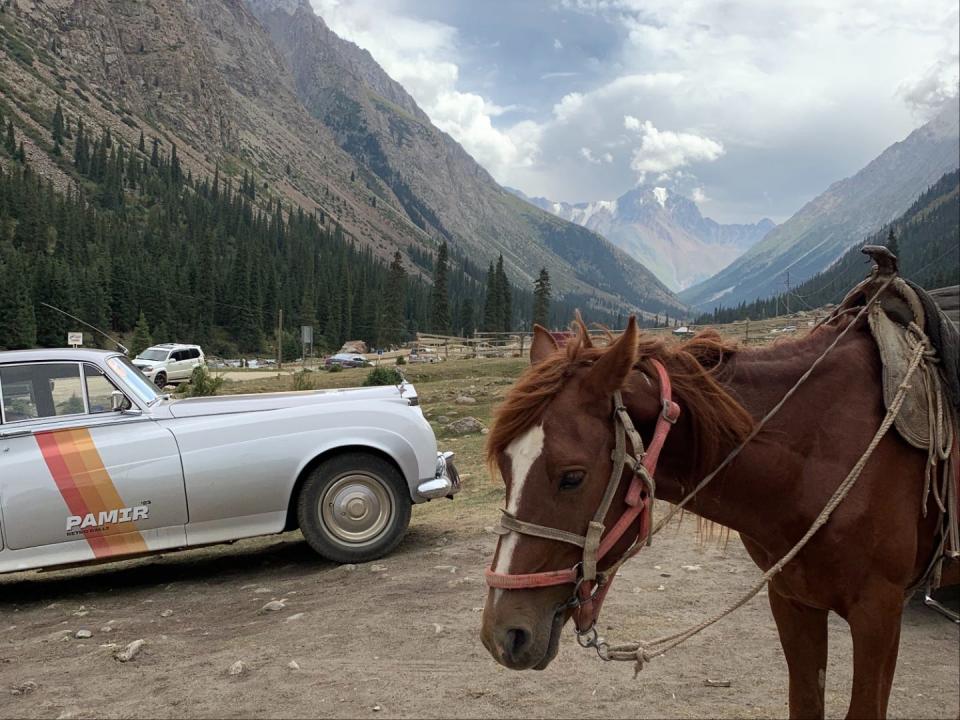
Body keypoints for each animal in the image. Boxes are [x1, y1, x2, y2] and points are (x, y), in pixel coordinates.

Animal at [480, 316, 952, 720]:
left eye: (572, 477)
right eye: (505, 465)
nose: (501, 635)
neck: (820, 454)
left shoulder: (879, 612)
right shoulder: (792, 601)